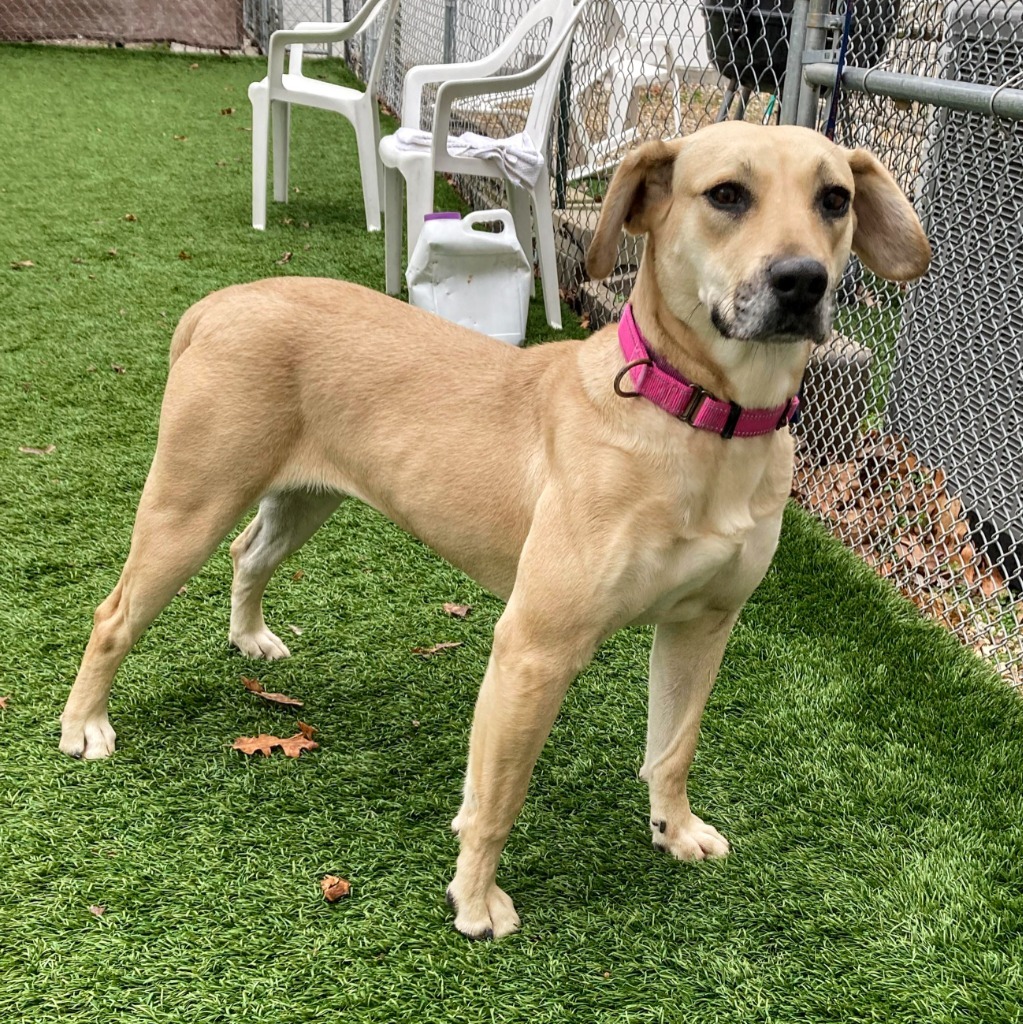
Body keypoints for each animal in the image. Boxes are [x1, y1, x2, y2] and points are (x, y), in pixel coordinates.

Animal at [59, 123, 933, 937]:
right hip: (191, 503)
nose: (802, 281)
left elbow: (673, 745)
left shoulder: (704, 625)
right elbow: (498, 795)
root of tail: (219, 302)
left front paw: (673, 827)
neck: (700, 420)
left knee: (250, 554)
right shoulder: (533, 650)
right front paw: (474, 898)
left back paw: (249, 637)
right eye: (725, 194)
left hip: (303, 496)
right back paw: (84, 726)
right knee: (113, 613)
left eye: (834, 200)